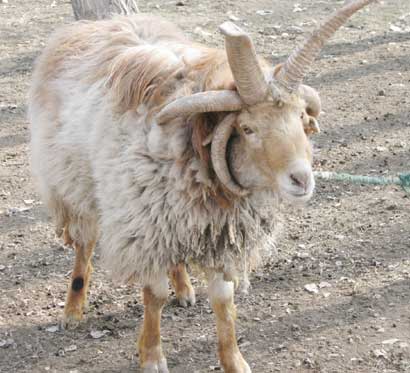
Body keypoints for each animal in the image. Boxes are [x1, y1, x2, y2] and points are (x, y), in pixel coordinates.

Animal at [27, 1, 376, 370]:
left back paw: (183, 288)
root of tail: (97, 25)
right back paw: (73, 310)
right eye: (247, 128)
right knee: (85, 244)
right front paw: (152, 356)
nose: (302, 178)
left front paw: (234, 360)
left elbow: (223, 301)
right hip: (74, 183)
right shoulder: (144, 226)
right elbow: (154, 296)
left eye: (299, 117)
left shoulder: (216, 232)